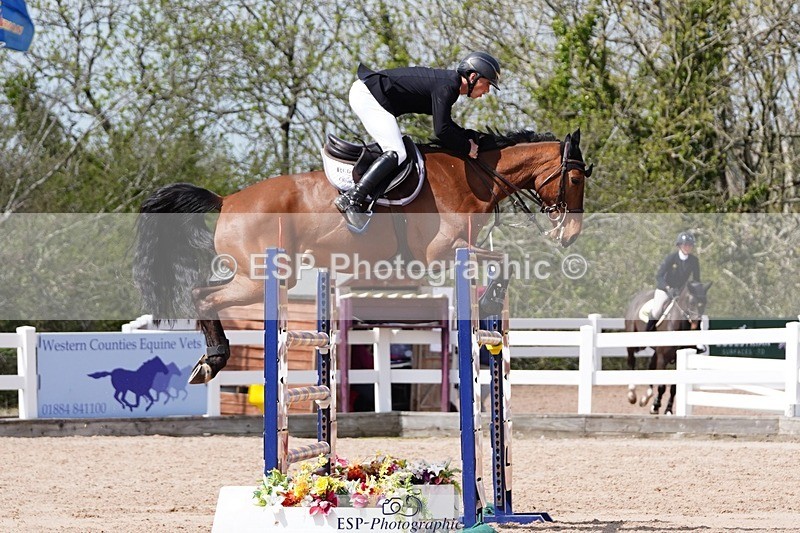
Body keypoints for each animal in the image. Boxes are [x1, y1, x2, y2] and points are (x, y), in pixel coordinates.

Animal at [133, 128, 592, 384]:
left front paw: (492, 298)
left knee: (204, 292)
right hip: (262, 277)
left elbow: (502, 259)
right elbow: (504, 261)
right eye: (574, 178)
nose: (571, 235)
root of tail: (226, 200)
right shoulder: (444, 252)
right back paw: (213, 362)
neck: (476, 177)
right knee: (202, 295)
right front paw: (492, 297)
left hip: (258, 276)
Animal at [624, 281, 712, 414]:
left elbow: (673, 388)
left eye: (705, 303)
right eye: (692, 302)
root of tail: (637, 297)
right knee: (631, 361)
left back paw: (646, 398)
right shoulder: (663, 358)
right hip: (632, 342)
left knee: (650, 366)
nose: (695, 326)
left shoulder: (677, 360)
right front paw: (656, 406)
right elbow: (662, 386)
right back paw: (631, 395)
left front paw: (667, 410)